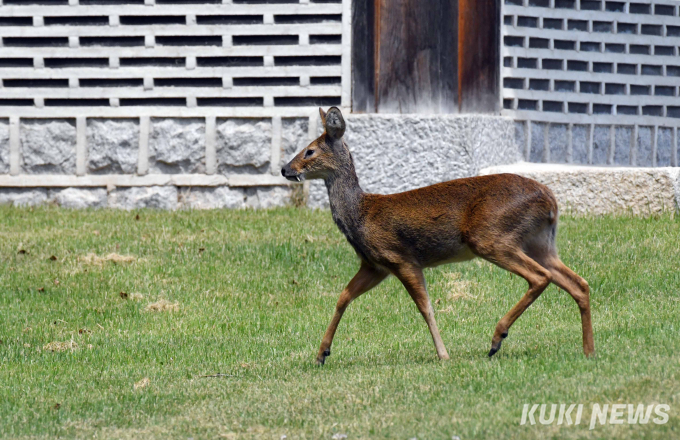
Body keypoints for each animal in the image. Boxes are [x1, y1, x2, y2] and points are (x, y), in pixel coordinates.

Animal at [278, 106, 592, 364]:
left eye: (309, 151)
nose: (284, 169)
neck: (361, 214)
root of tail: (551, 200)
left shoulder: (400, 257)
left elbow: (425, 307)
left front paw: (443, 355)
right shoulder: (374, 265)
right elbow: (343, 297)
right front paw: (321, 354)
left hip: (491, 237)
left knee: (540, 276)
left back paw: (496, 339)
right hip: (540, 242)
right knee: (579, 283)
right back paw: (588, 350)